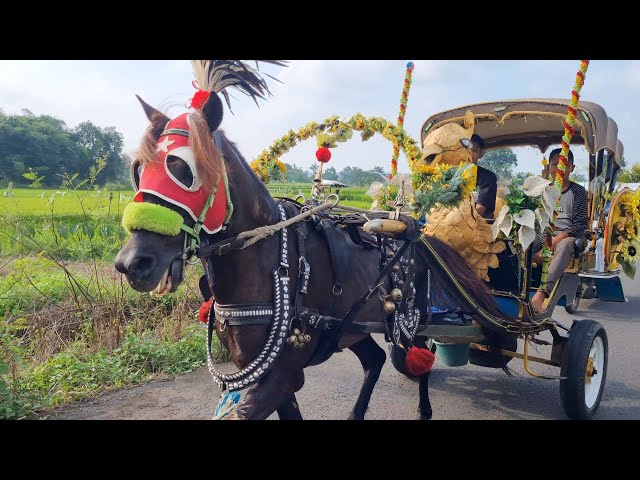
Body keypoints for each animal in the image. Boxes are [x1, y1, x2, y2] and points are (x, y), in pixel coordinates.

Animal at [115, 61, 512, 420]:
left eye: (185, 171)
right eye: (138, 171)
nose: (132, 263)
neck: (265, 261)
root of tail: (418, 234)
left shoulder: (284, 374)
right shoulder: (268, 372)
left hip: (415, 319)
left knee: (420, 361)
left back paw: (424, 409)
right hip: (350, 326)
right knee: (376, 359)